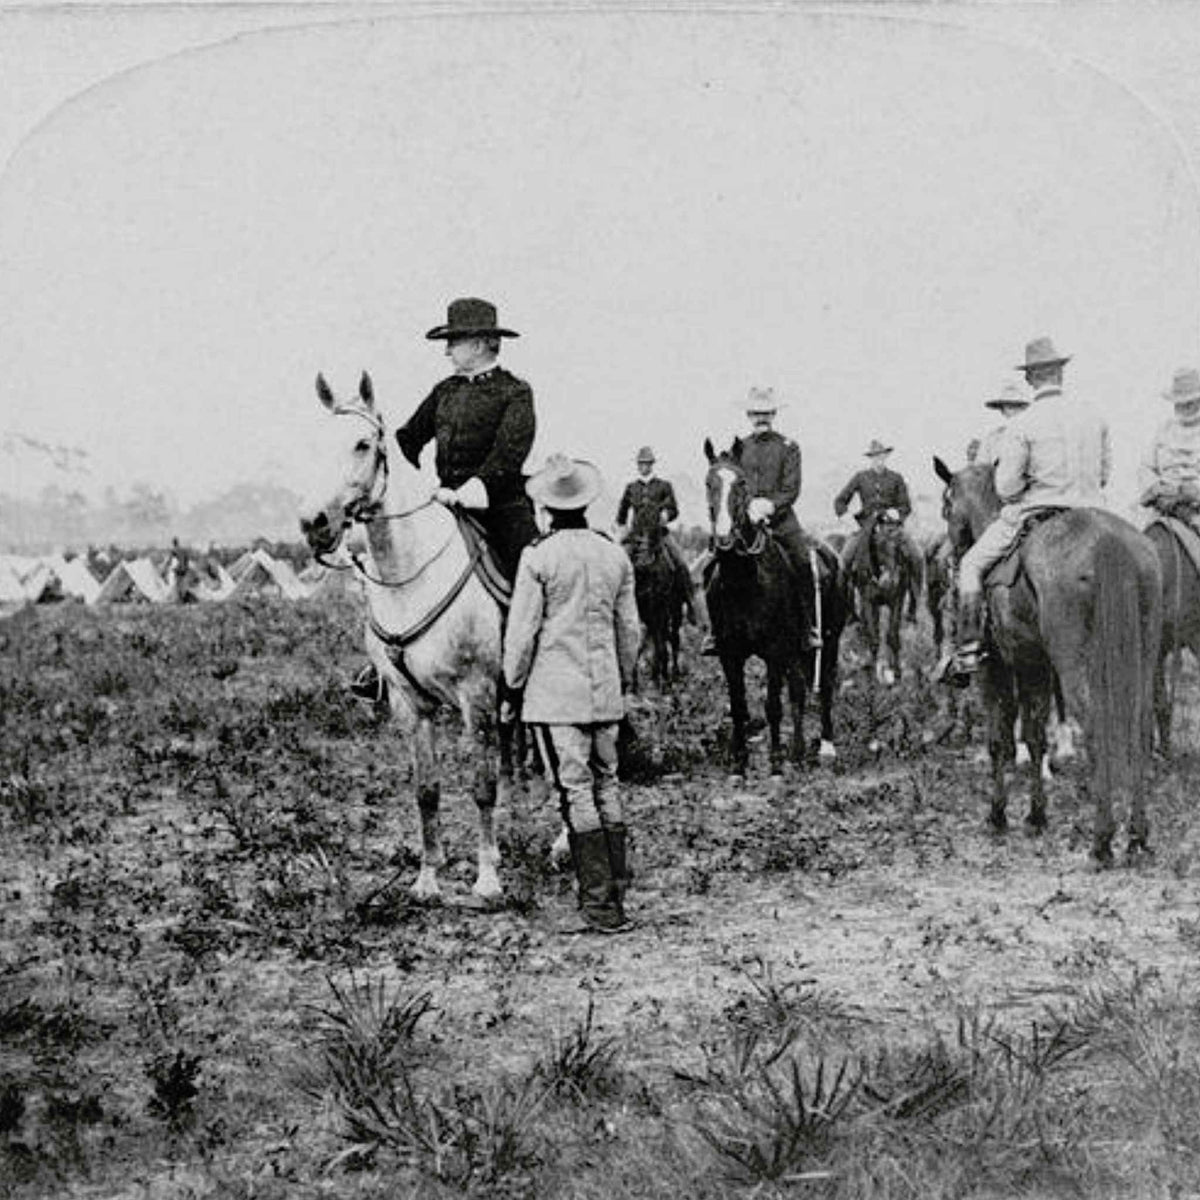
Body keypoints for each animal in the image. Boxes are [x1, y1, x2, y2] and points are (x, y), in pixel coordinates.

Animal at [297, 369, 513, 902]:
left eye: (363, 443)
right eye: (310, 443)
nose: (314, 524)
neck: (410, 576)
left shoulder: (477, 696)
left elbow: (483, 785)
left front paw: (486, 879)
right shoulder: (408, 702)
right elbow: (426, 790)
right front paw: (428, 879)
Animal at [700, 441, 844, 777]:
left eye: (742, 483)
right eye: (708, 484)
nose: (724, 539)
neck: (743, 582)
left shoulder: (775, 651)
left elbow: (773, 705)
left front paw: (776, 764)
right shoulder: (730, 654)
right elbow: (739, 706)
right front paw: (739, 763)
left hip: (829, 640)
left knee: (824, 686)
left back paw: (825, 747)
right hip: (796, 652)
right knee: (799, 691)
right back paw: (798, 752)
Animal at [931, 456, 1156, 864]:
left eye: (946, 504)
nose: (950, 560)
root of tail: (1109, 542)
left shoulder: (996, 671)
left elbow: (1000, 740)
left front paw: (998, 815)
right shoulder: (1033, 668)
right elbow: (1035, 739)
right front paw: (1036, 816)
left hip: (1078, 668)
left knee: (1097, 730)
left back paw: (1101, 841)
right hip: (1143, 658)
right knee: (1139, 729)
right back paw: (1137, 835)